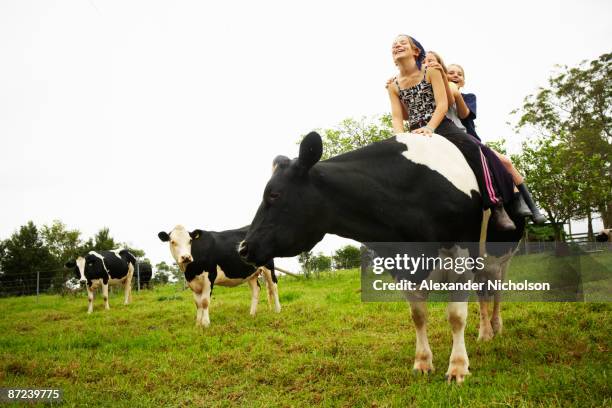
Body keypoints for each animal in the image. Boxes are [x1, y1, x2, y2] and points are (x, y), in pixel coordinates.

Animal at [239, 132, 524, 384]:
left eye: (274, 194)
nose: (243, 248)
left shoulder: (461, 258)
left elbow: (455, 315)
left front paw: (458, 367)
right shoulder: (402, 263)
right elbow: (418, 315)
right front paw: (422, 363)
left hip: (503, 257)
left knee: (496, 292)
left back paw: (495, 327)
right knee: (483, 294)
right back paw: (485, 332)